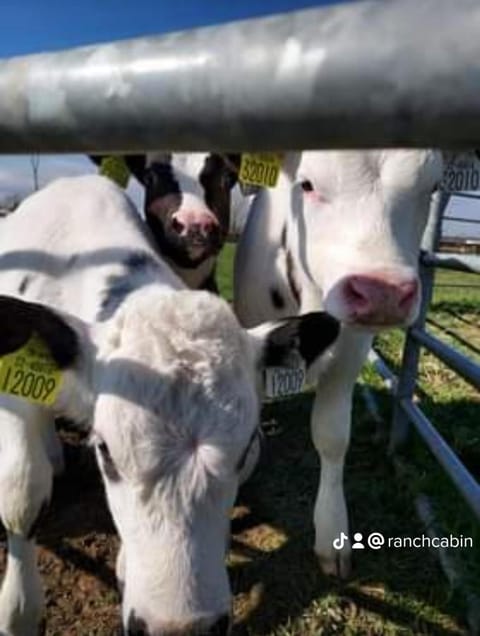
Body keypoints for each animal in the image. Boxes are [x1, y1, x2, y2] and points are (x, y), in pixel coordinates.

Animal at [234, 152, 444, 580]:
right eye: (307, 185)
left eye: (432, 187)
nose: (383, 293)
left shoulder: (350, 354)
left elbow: (332, 437)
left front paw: (332, 535)